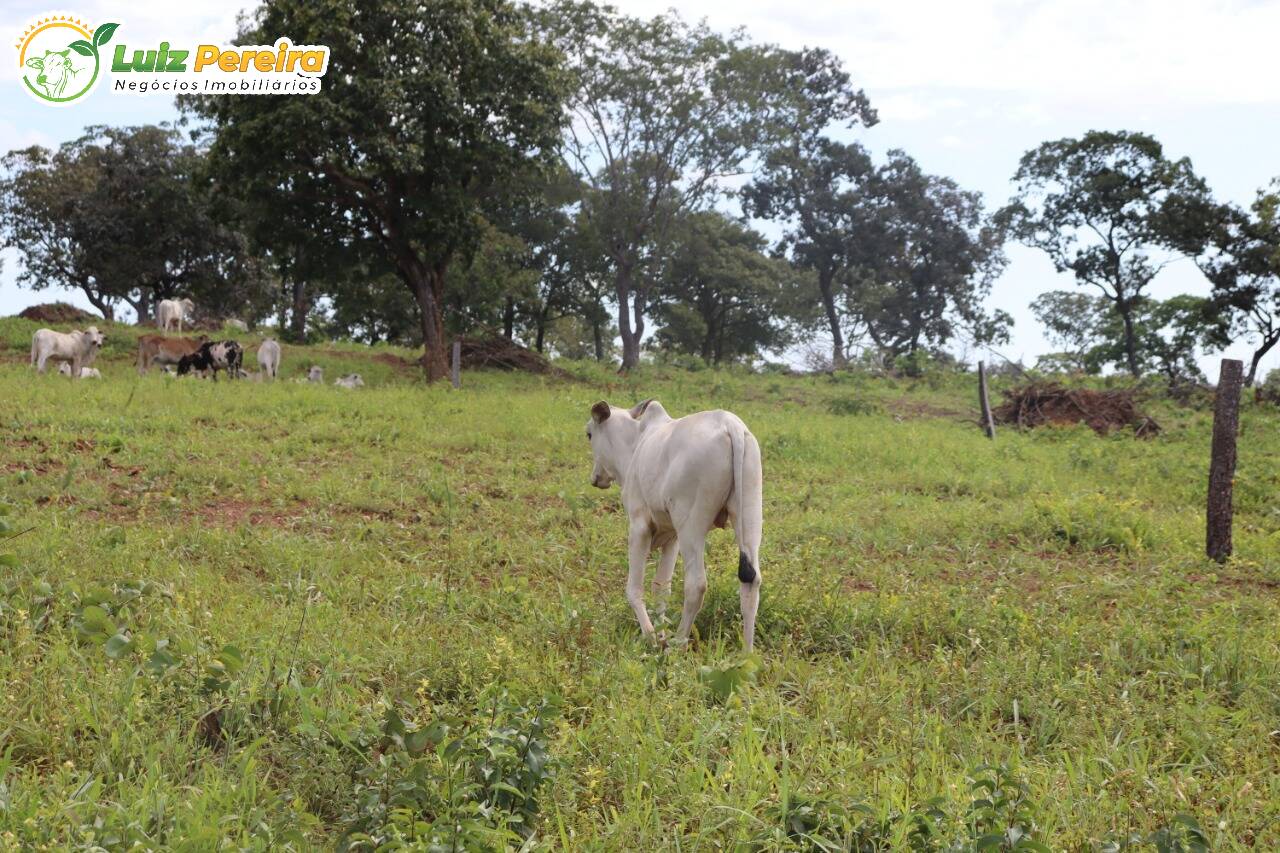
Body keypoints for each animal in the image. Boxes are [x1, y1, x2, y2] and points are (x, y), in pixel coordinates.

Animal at [586, 399, 762, 650]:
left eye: (589, 434)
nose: (596, 477)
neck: (636, 445)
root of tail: (731, 425)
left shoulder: (639, 526)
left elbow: (634, 588)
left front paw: (651, 636)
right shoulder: (672, 536)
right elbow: (661, 588)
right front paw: (660, 633)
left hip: (692, 527)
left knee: (696, 585)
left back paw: (678, 643)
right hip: (748, 516)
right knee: (751, 581)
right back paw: (747, 652)